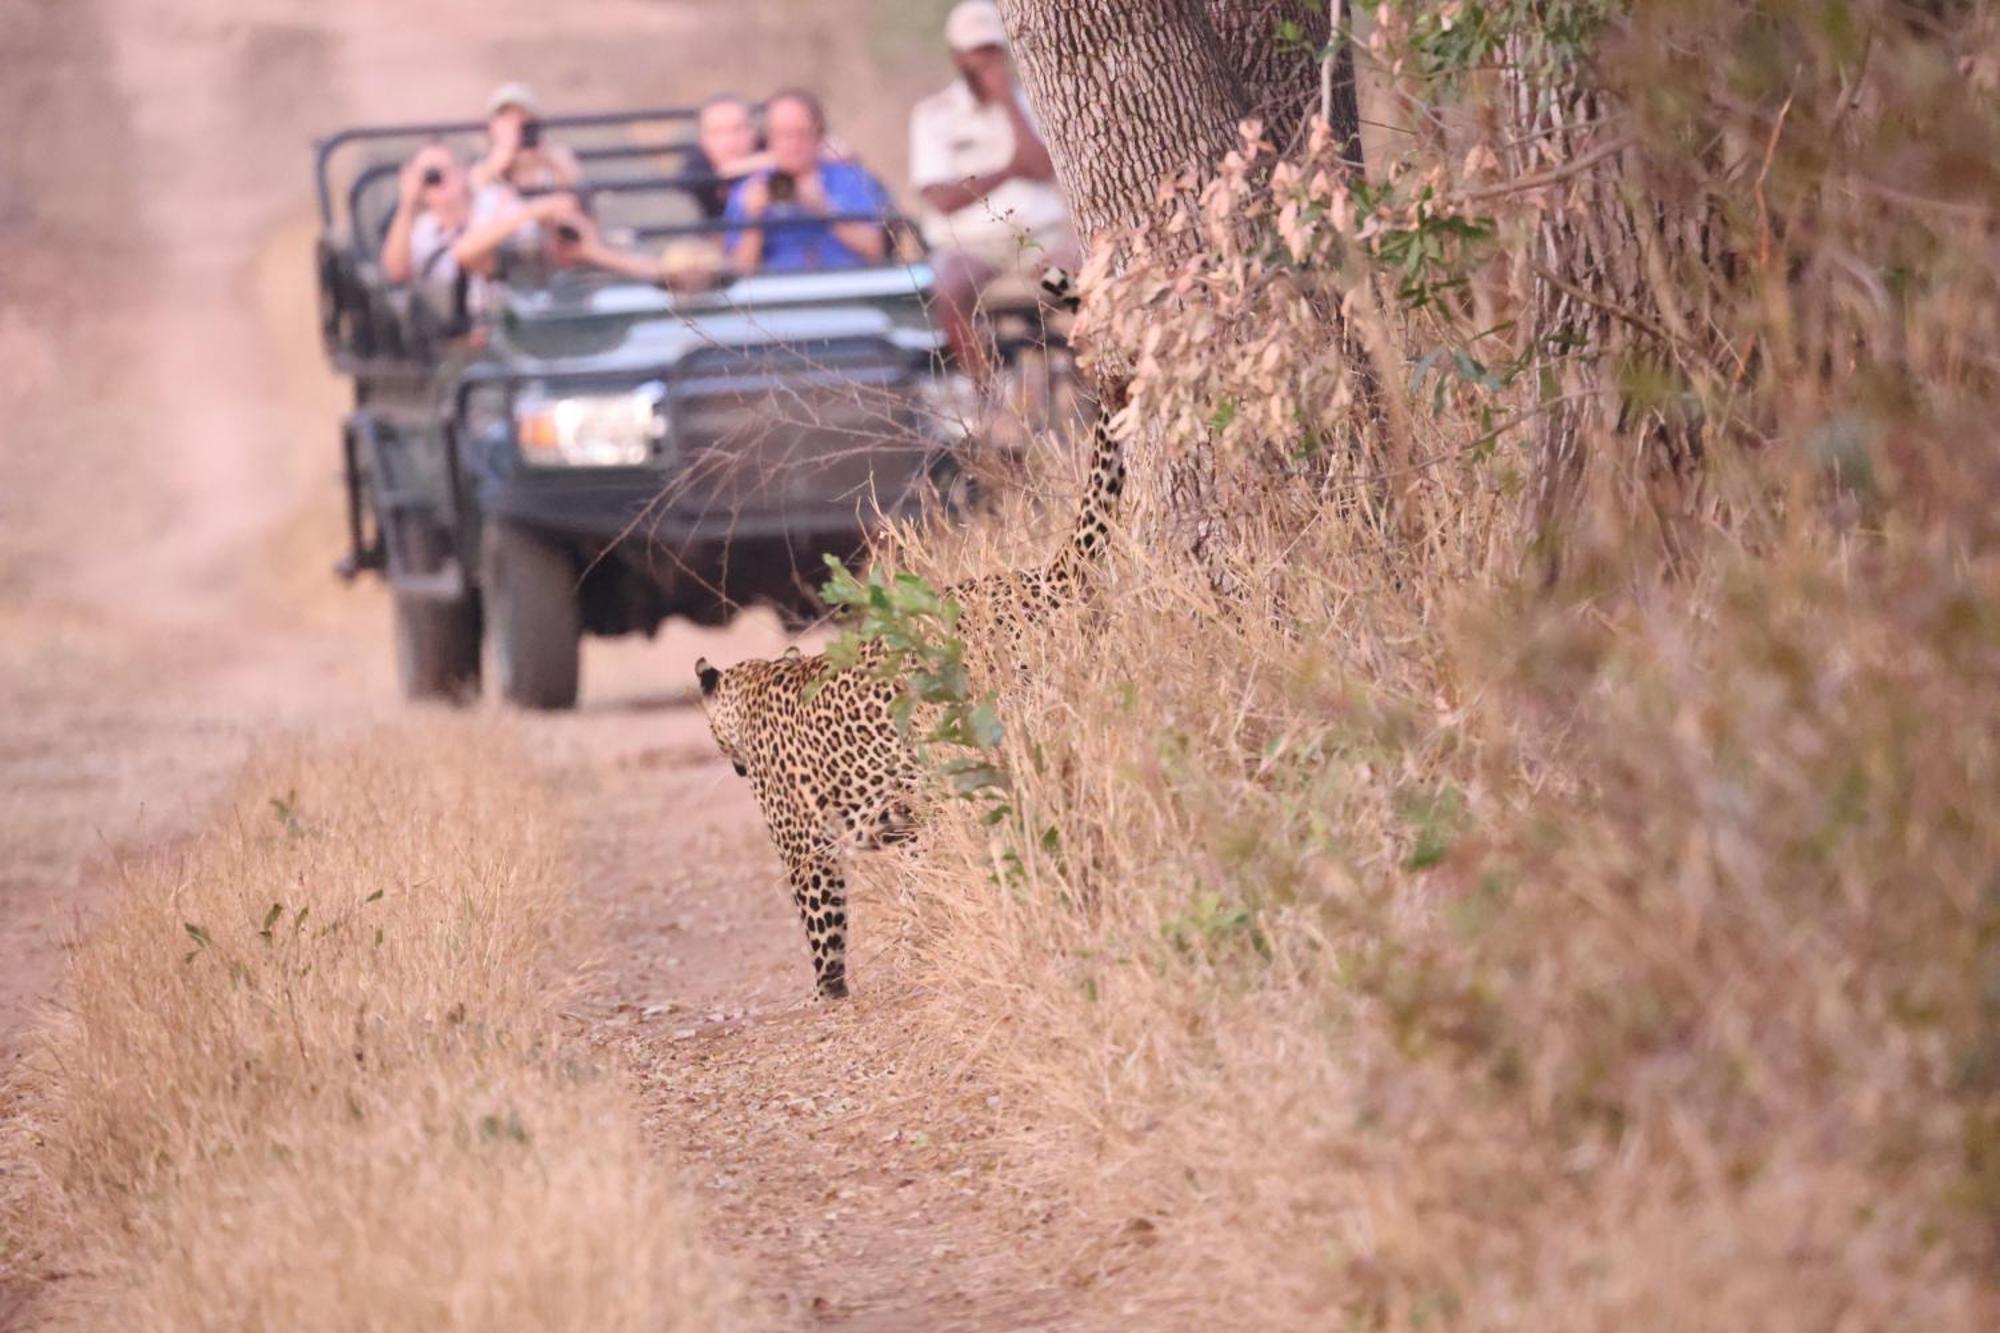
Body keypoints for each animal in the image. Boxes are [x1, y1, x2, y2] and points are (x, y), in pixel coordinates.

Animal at [696, 404, 1120, 996]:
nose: (732, 765)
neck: (756, 683)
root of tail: (1040, 576)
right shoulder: (908, 818)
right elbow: (916, 878)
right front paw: (914, 940)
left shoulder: (806, 846)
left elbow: (822, 926)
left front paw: (828, 991)